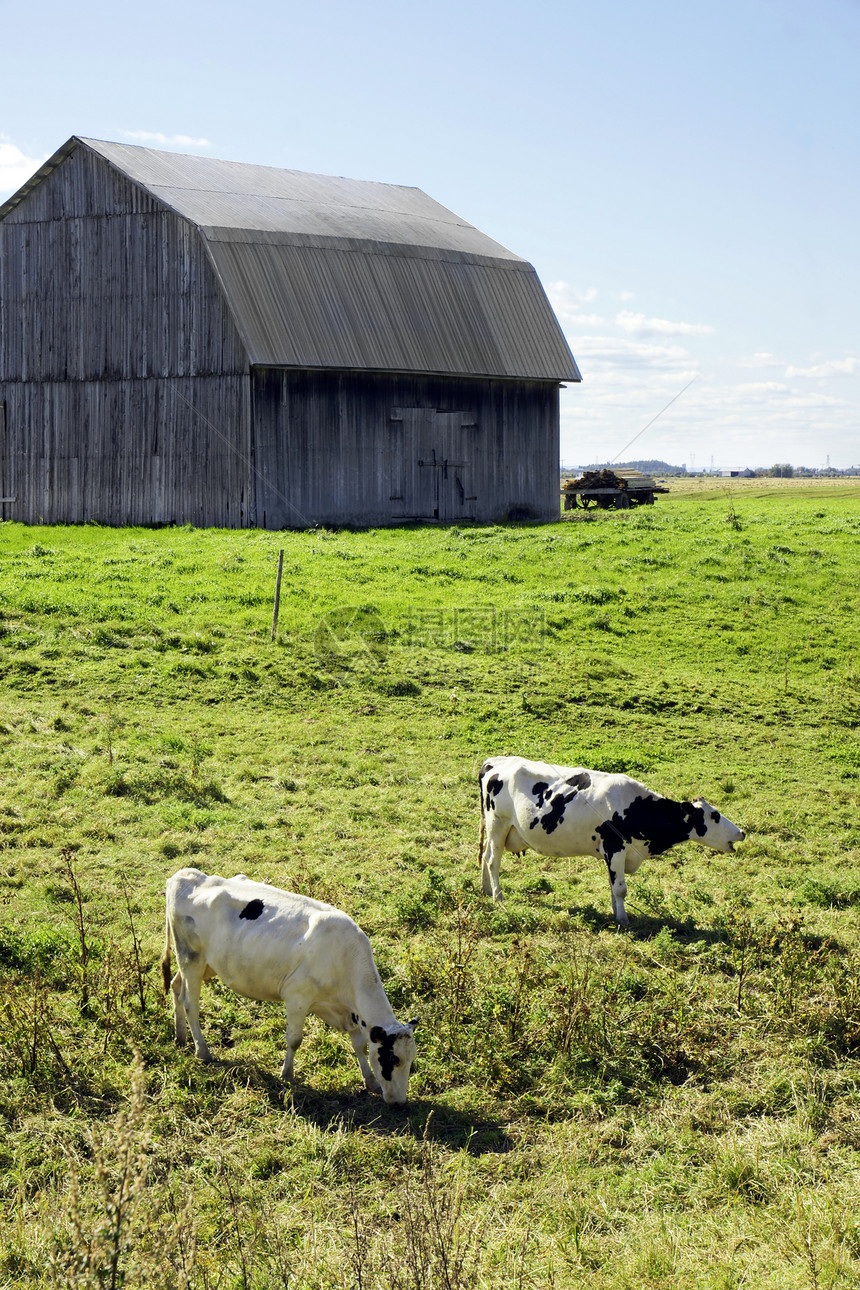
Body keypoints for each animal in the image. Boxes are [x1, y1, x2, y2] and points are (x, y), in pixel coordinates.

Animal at [163, 866, 417, 1099]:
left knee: (176, 987)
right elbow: (295, 1040)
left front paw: (370, 1081)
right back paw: (203, 1052)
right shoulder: (297, 996)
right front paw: (287, 1075)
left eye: (411, 1060)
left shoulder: (347, 1011)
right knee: (190, 1003)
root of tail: (185, 875)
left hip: (202, 964)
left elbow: (359, 1044)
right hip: (191, 959)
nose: (399, 1103)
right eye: (392, 1059)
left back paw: (180, 1037)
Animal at [477, 753, 747, 928]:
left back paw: (486, 889)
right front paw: (623, 919)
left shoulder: (613, 853)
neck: (634, 807)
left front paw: (615, 912)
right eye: (714, 816)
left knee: (485, 855)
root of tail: (495, 761)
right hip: (498, 823)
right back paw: (498, 896)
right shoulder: (615, 847)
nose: (742, 832)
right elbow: (620, 888)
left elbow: (612, 885)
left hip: (495, 828)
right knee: (493, 861)